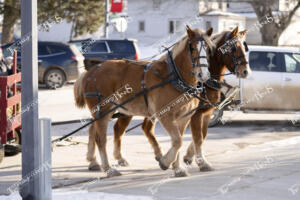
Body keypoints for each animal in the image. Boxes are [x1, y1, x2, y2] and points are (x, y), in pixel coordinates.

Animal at [108, 25, 251, 172]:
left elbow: (203, 134)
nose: (245, 71)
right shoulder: (195, 114)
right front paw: (199, 161)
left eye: (244, 47)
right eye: (233, 48)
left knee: (140, 128)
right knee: (121, 129)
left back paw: (155, 155)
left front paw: (188, 157)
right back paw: (123, 158)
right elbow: (198, 137)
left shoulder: (206, 112)